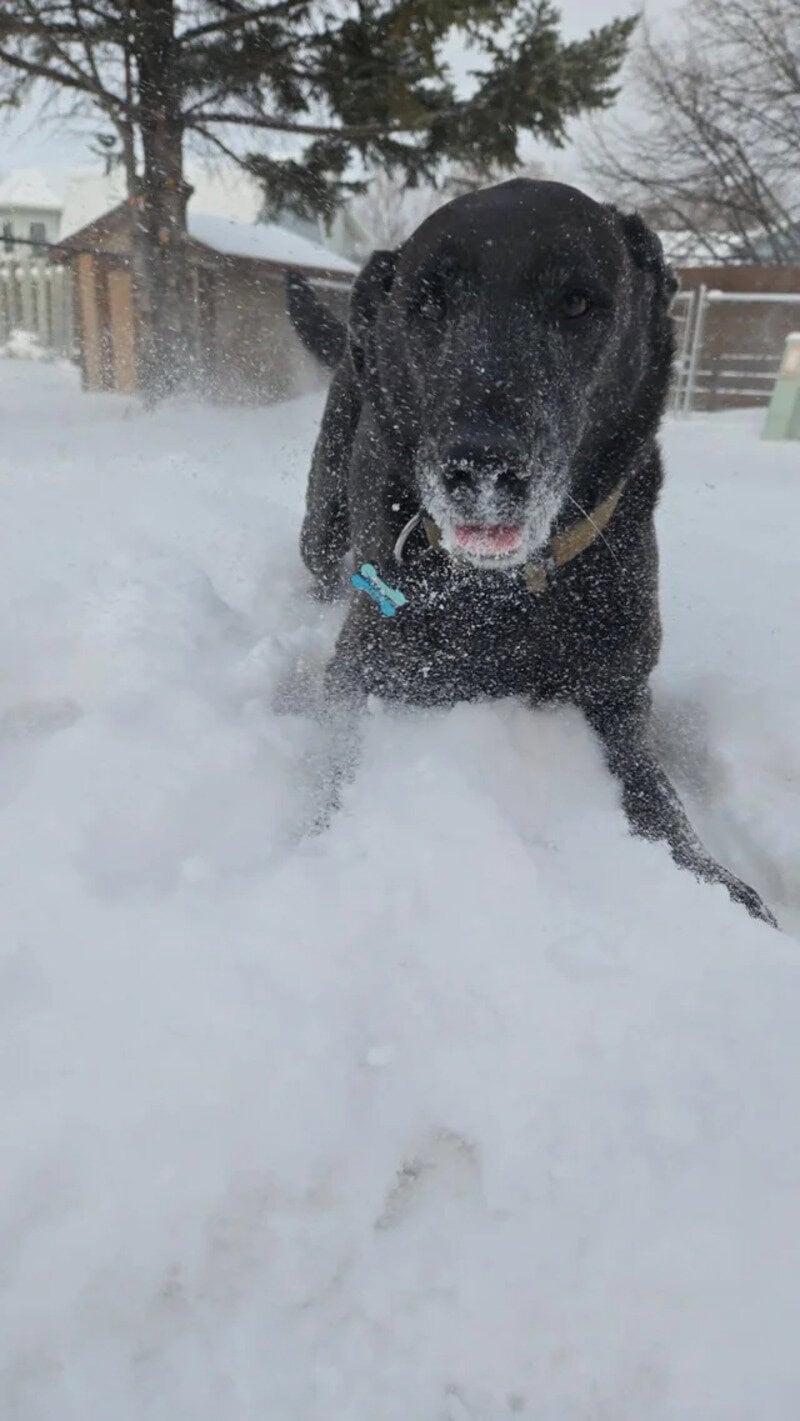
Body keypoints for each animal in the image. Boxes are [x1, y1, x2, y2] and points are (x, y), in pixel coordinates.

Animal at [286, 178, 776, 926]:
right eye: (429, 303)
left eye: (576, 303)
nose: (482, 467)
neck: (506, 593)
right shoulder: (358, 667)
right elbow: (333, 764)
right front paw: (319, 846)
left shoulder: (620, 691)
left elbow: (658, 798)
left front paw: (716, 882)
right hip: (324, 522)